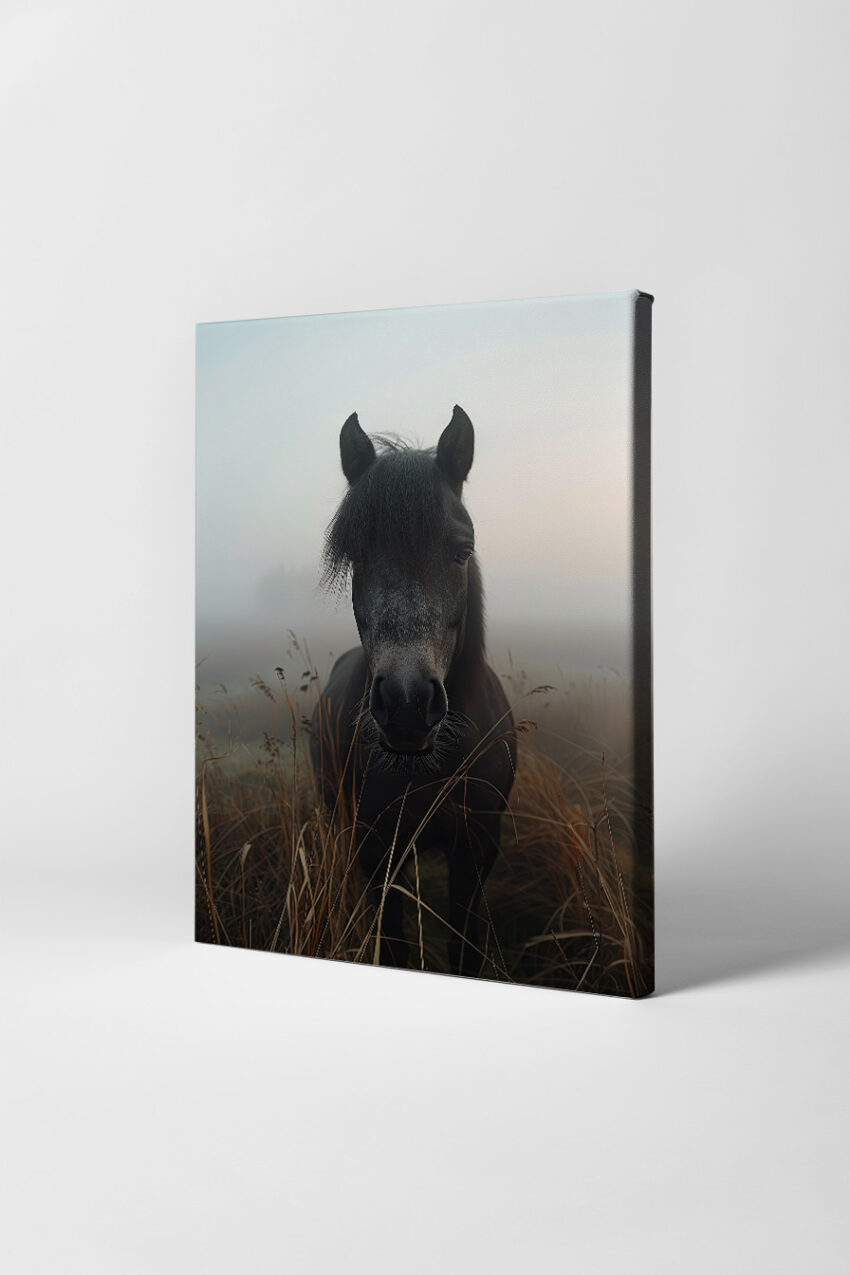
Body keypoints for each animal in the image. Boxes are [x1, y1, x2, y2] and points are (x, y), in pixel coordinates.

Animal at [309, 405, 516, 976]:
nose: (406, 706)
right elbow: (394, 942)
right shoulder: (377, 848)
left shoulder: (477, 849)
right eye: (356, 554)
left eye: (462, 551)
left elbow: (465, 946)